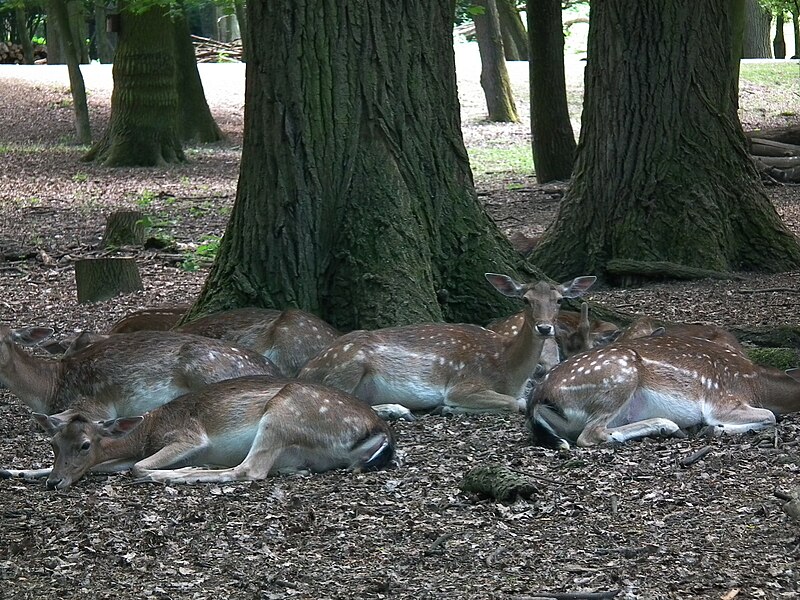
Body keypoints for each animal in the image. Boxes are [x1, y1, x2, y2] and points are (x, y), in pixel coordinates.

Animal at [1, 378, 396, 490]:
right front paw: (14, 469)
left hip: (284, 412)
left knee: (250, 470)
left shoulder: (188, 436)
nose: (55, 483)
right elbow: (109, 467)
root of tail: (379, 433)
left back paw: (190, 472)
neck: (144, 435)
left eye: (84, 445)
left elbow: (137, 467)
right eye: (53, 444)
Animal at [298, 274, 592, 414]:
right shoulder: (464, 383)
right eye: (525, 300)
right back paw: (398, 409)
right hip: (348, 365)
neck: (508, 370)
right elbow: (514, 403)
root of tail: (305, 370)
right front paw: (449, 407)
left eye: (559, 300)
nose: (544, 327)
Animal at [524, 328, 800, 450]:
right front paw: (714, 429)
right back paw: (667, 426)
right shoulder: (721, 400)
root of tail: (538, 396)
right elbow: (770, 416)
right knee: (589, 435)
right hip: (620, 375)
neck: (755, 384)